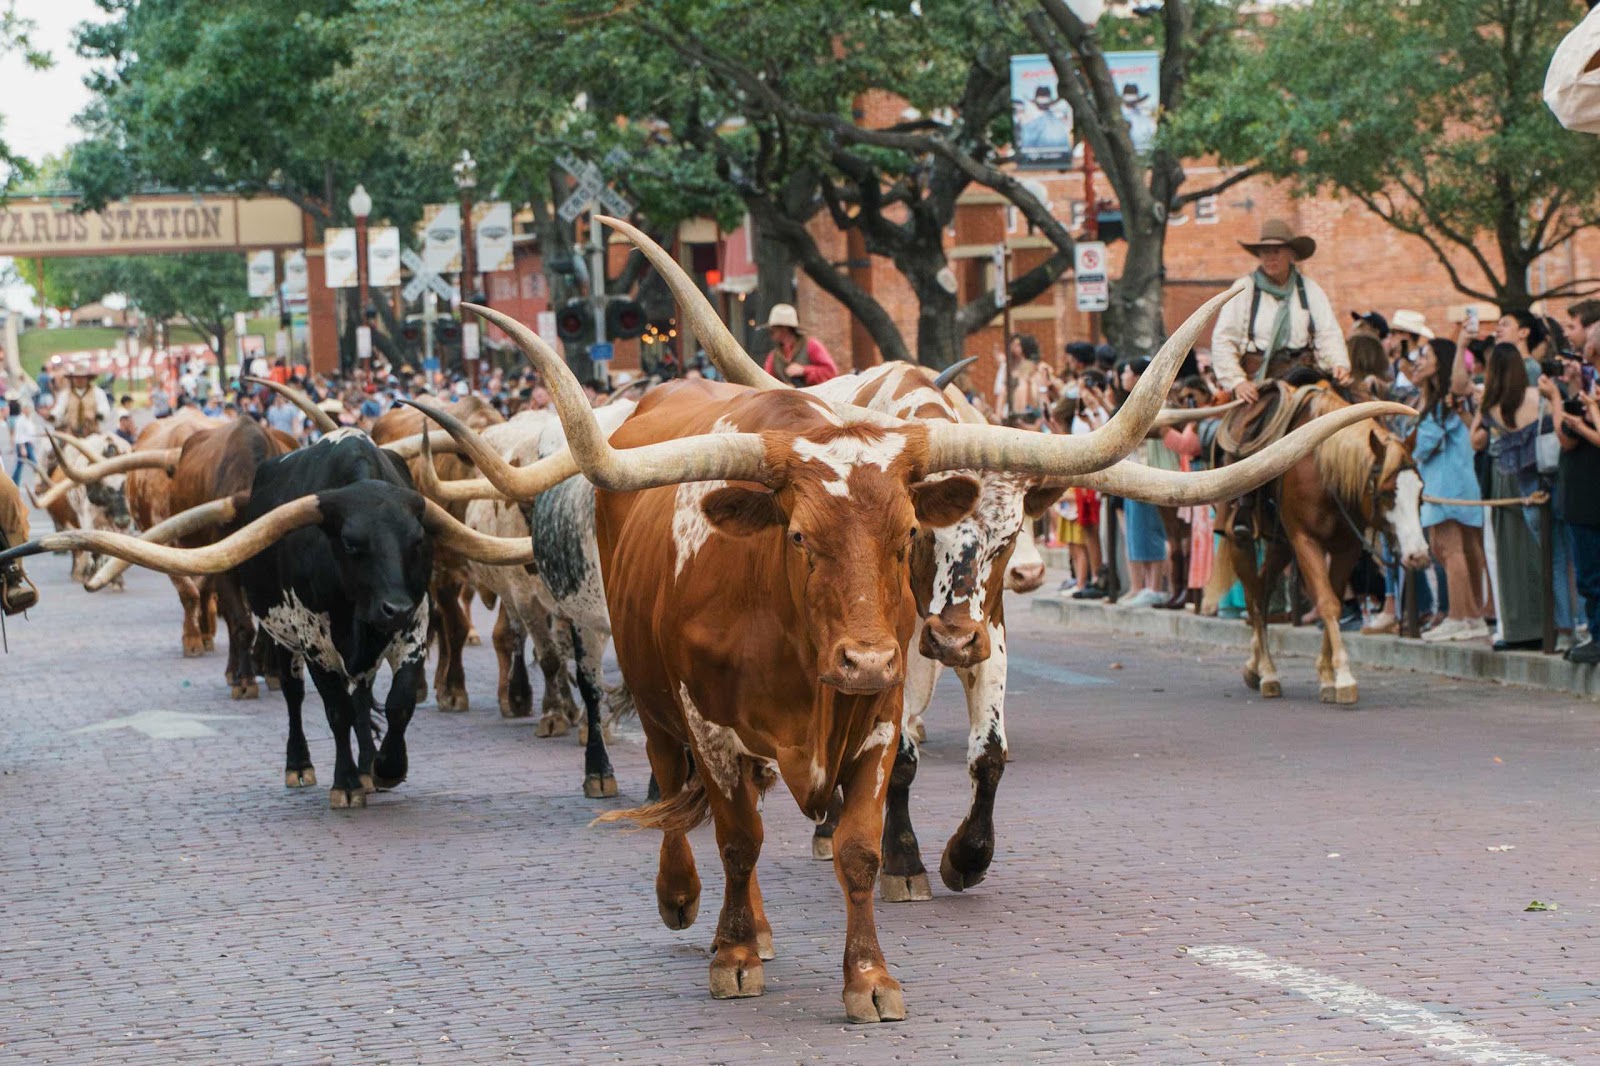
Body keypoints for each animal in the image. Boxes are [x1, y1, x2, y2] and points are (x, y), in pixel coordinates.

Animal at [2, 427, 537, 809]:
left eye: (417, 541)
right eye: (352, 544)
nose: (395, 608)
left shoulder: (412, 633)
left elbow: (398, 700)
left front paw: (386, 767)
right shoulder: (315, 641)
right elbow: (334, 711)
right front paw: (345, 783)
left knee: (361, 695)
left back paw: (367, 763)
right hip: (284, 638)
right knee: (298, 697)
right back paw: (300, 763)